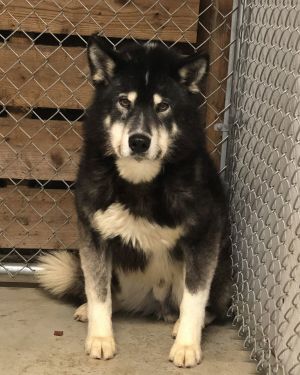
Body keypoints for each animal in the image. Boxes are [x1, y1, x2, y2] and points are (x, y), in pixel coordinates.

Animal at [37, 35, 231, 370]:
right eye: (123, 102)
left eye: (163, 106)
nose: (139, 141)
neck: (141, 182)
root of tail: (154, 302)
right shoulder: (94, 236)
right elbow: (98, 292)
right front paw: (100, 338)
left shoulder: (205, 235)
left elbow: (195, 297)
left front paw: (187, 345)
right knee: (105, 291)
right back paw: (89, 309)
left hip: (221, 265)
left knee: (205, 305)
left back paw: (181, 323)